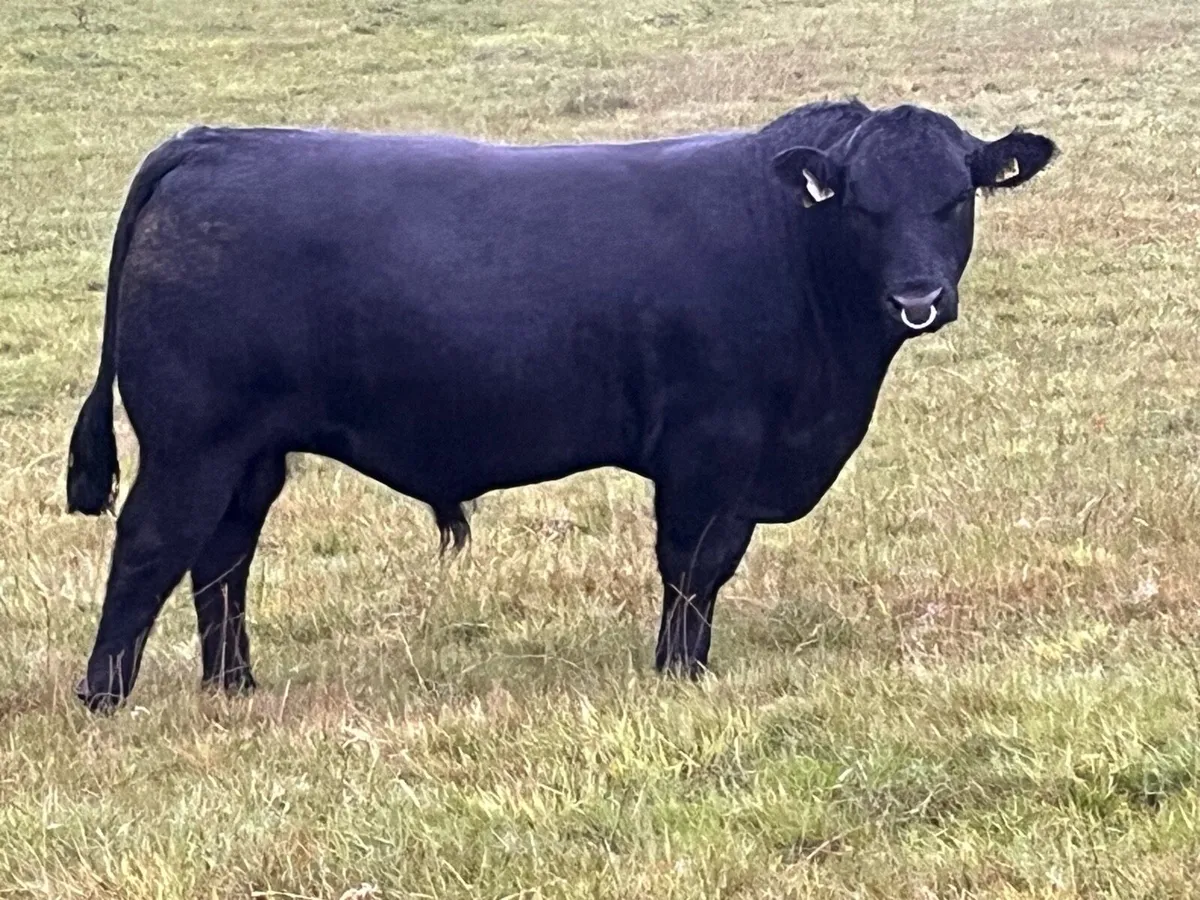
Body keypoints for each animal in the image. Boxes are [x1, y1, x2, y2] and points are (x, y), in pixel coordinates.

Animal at [65, 99, 1056, 711]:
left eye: (955, 197)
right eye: (861, 205)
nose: (918, 298)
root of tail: (213, 140)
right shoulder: (709, 451)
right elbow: (692, 568)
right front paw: (679, 676)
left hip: (251, 453)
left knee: (222, 557)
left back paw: (234, 686)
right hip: (193, 441)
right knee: (152, 546)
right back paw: (105, 698)